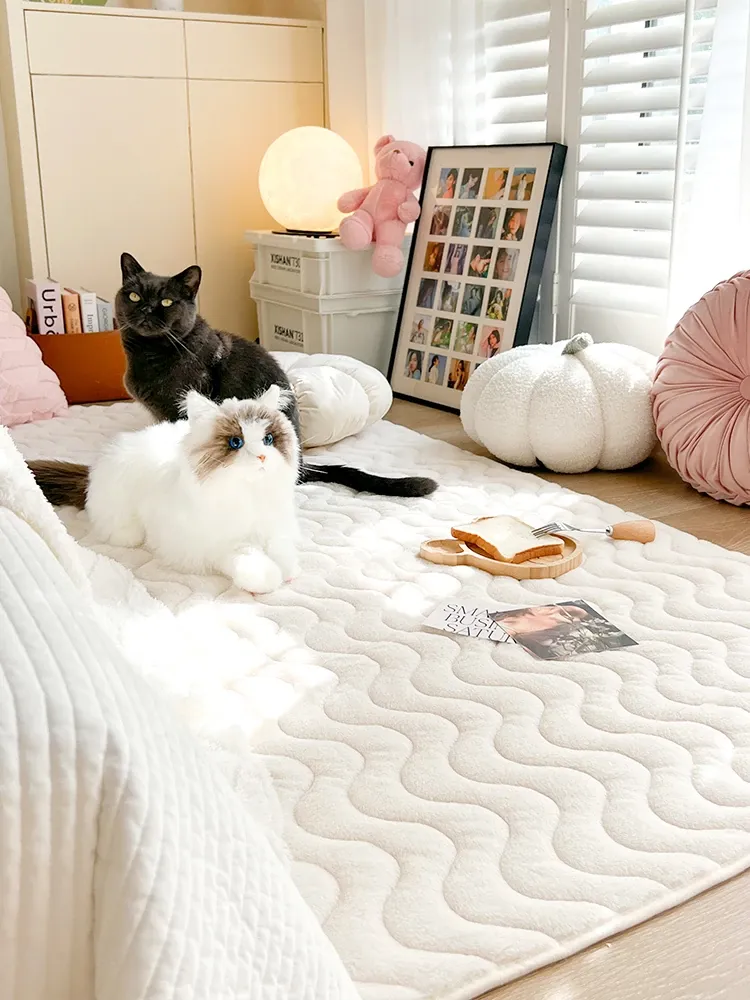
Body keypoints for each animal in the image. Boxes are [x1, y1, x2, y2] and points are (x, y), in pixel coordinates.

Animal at [29, 387, 299, 594]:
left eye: (268, 439)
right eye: (236, 442)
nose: (262, 456)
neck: (249, 494)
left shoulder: (276, 526)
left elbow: (281, 549)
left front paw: (287, 569)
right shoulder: (217, 544)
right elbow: (250, 557)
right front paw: (269, 577)